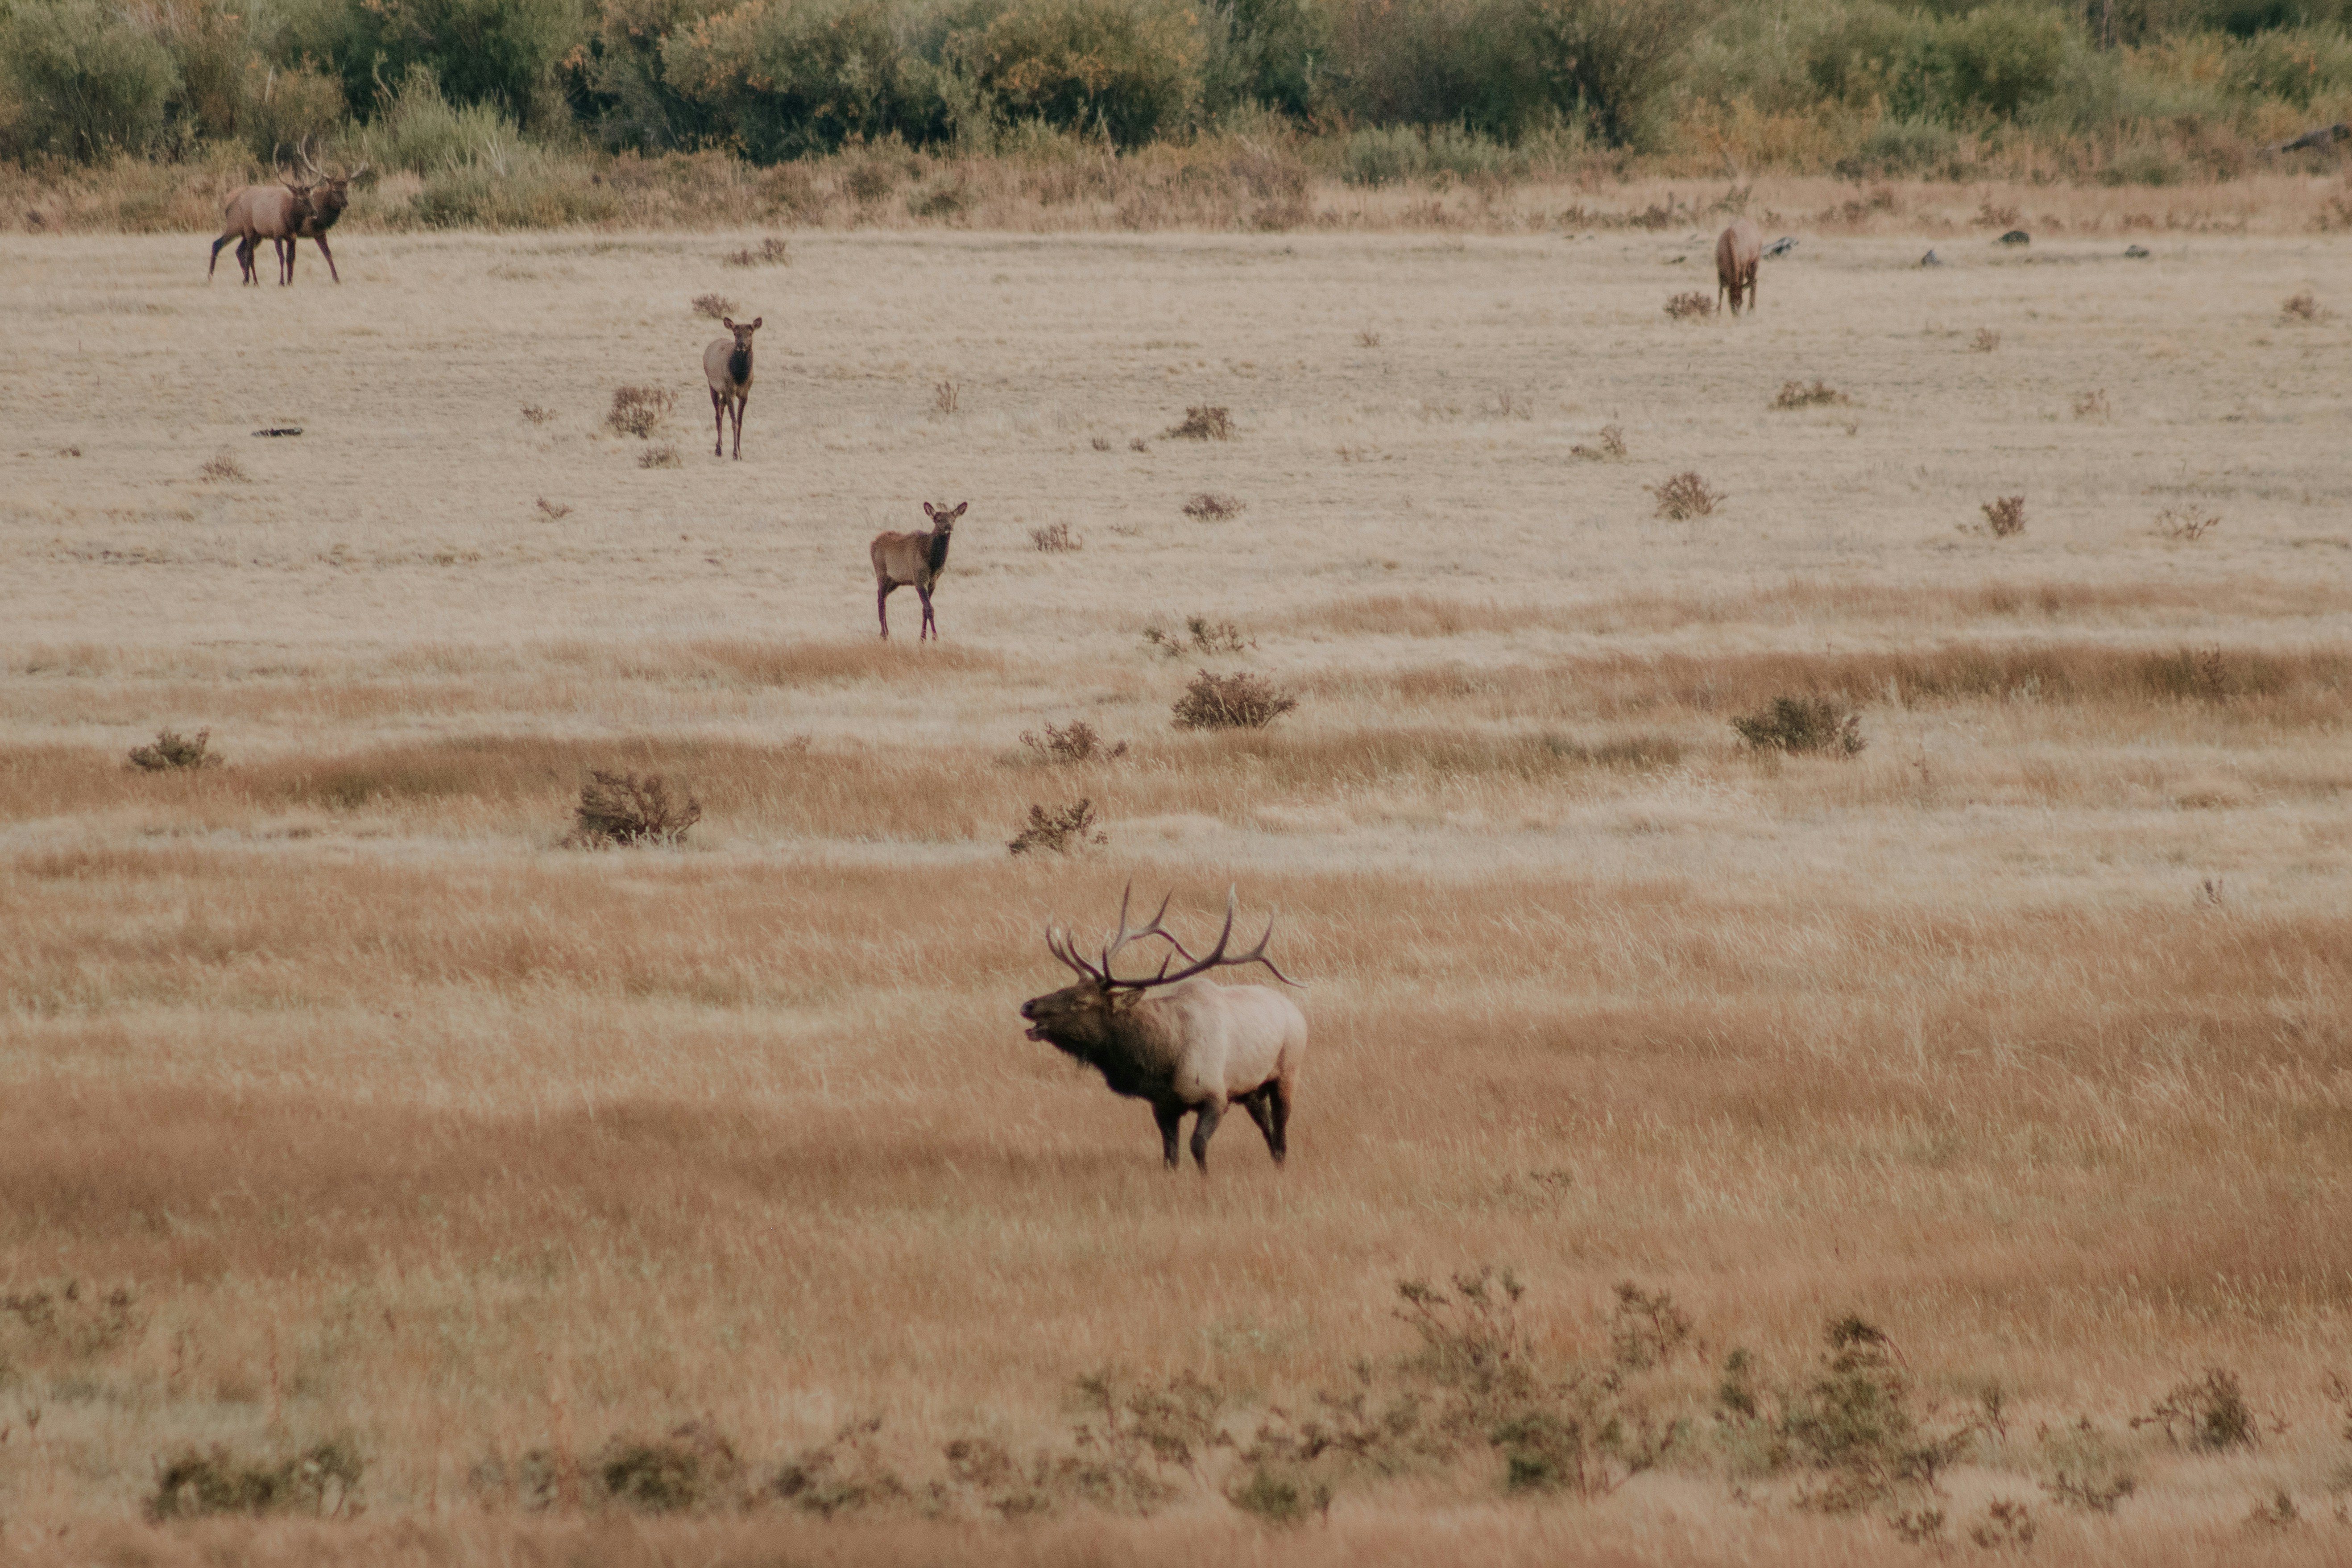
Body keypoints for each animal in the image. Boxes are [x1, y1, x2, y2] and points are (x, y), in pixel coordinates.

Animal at [702, 316, 761, 459]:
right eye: (736, 333)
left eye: (750, 333)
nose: (741, 344)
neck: (740, 376)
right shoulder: (731, 391)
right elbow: (734, 422)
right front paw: (735, 454)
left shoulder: (745, 394)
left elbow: (740, 423)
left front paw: (740, 451)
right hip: (712, 384)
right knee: (718, 415)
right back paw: (718, 449)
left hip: (724, 392)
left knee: (721, 408)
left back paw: (719, 447)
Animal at [870, 500, 963, 640]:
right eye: (938, 520)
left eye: (953, 519)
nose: (949, 527)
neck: (933, 563)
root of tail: (873, 543)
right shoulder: (919, 579)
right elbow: (930, 608)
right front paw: (935, 638)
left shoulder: (933, 583)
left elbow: (925, 609)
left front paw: (923, 638)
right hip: (881, 572)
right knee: (881, 600)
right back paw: (884, 634)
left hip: (895, 580)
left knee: (881, 597)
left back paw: (885, 632)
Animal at [1019, 885, 1307, 1174]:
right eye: (1066, 987)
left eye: (1082, 1002)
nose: (1028, 1006)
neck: (1164, 1061)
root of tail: (1295, 1011)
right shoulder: (1163, 1106)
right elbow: (1170, 1155)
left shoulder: (1216, 1096)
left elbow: (1198, 1146)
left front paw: (1205, 1180)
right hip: (1251, 1090)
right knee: (1268, 1131)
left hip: (1287, 1074)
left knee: (1280, 1133)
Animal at [1716, 217, 1763, 317]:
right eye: (1730, 303)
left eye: (1741, 302)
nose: (1737, 316)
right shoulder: (1719, 269)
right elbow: (1720, 291)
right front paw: (1718, 313)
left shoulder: (1742, 267)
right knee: (1754, 281)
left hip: (1755, 261)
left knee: (1753, 282)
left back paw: (1751, 310)